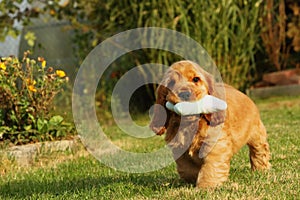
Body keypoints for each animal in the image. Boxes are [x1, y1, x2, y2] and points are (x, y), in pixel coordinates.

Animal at [150, 60, 270, 188]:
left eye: (196, 79)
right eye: (171, 83)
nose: (185, 94)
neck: (191, 124)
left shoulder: (216, 145)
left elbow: (211, 167)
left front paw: (206, 186)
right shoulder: (180, 149)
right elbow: (187, 168)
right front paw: (193, 179)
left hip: (257, 133)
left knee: (259, 150)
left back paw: (260, 169)